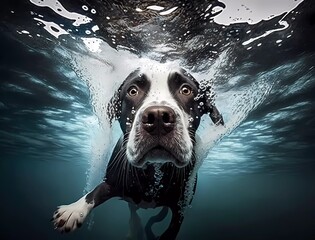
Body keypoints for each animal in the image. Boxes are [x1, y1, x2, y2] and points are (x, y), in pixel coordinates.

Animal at [52, 65, 225, 240]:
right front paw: (74, 209)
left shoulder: (181, 207)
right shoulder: (112, 182)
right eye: (133, 91)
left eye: (186, 90)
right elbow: (95, 192)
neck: (153, 171)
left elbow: (170, 232)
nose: (158, 116)